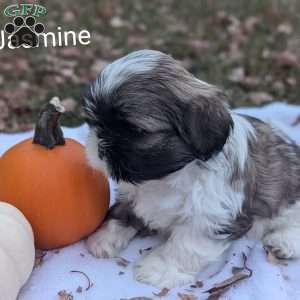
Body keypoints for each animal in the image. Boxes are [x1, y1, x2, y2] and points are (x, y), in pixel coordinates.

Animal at [83, 49, 300, 288]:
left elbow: (185, 246)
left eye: (137, 131)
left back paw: (283, 241)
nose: (99, 145)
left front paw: (159, 268)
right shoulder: (133, 193)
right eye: (96, 122)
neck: (167, 177)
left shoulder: (210, 218)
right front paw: (106, 237)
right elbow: (124, 211)